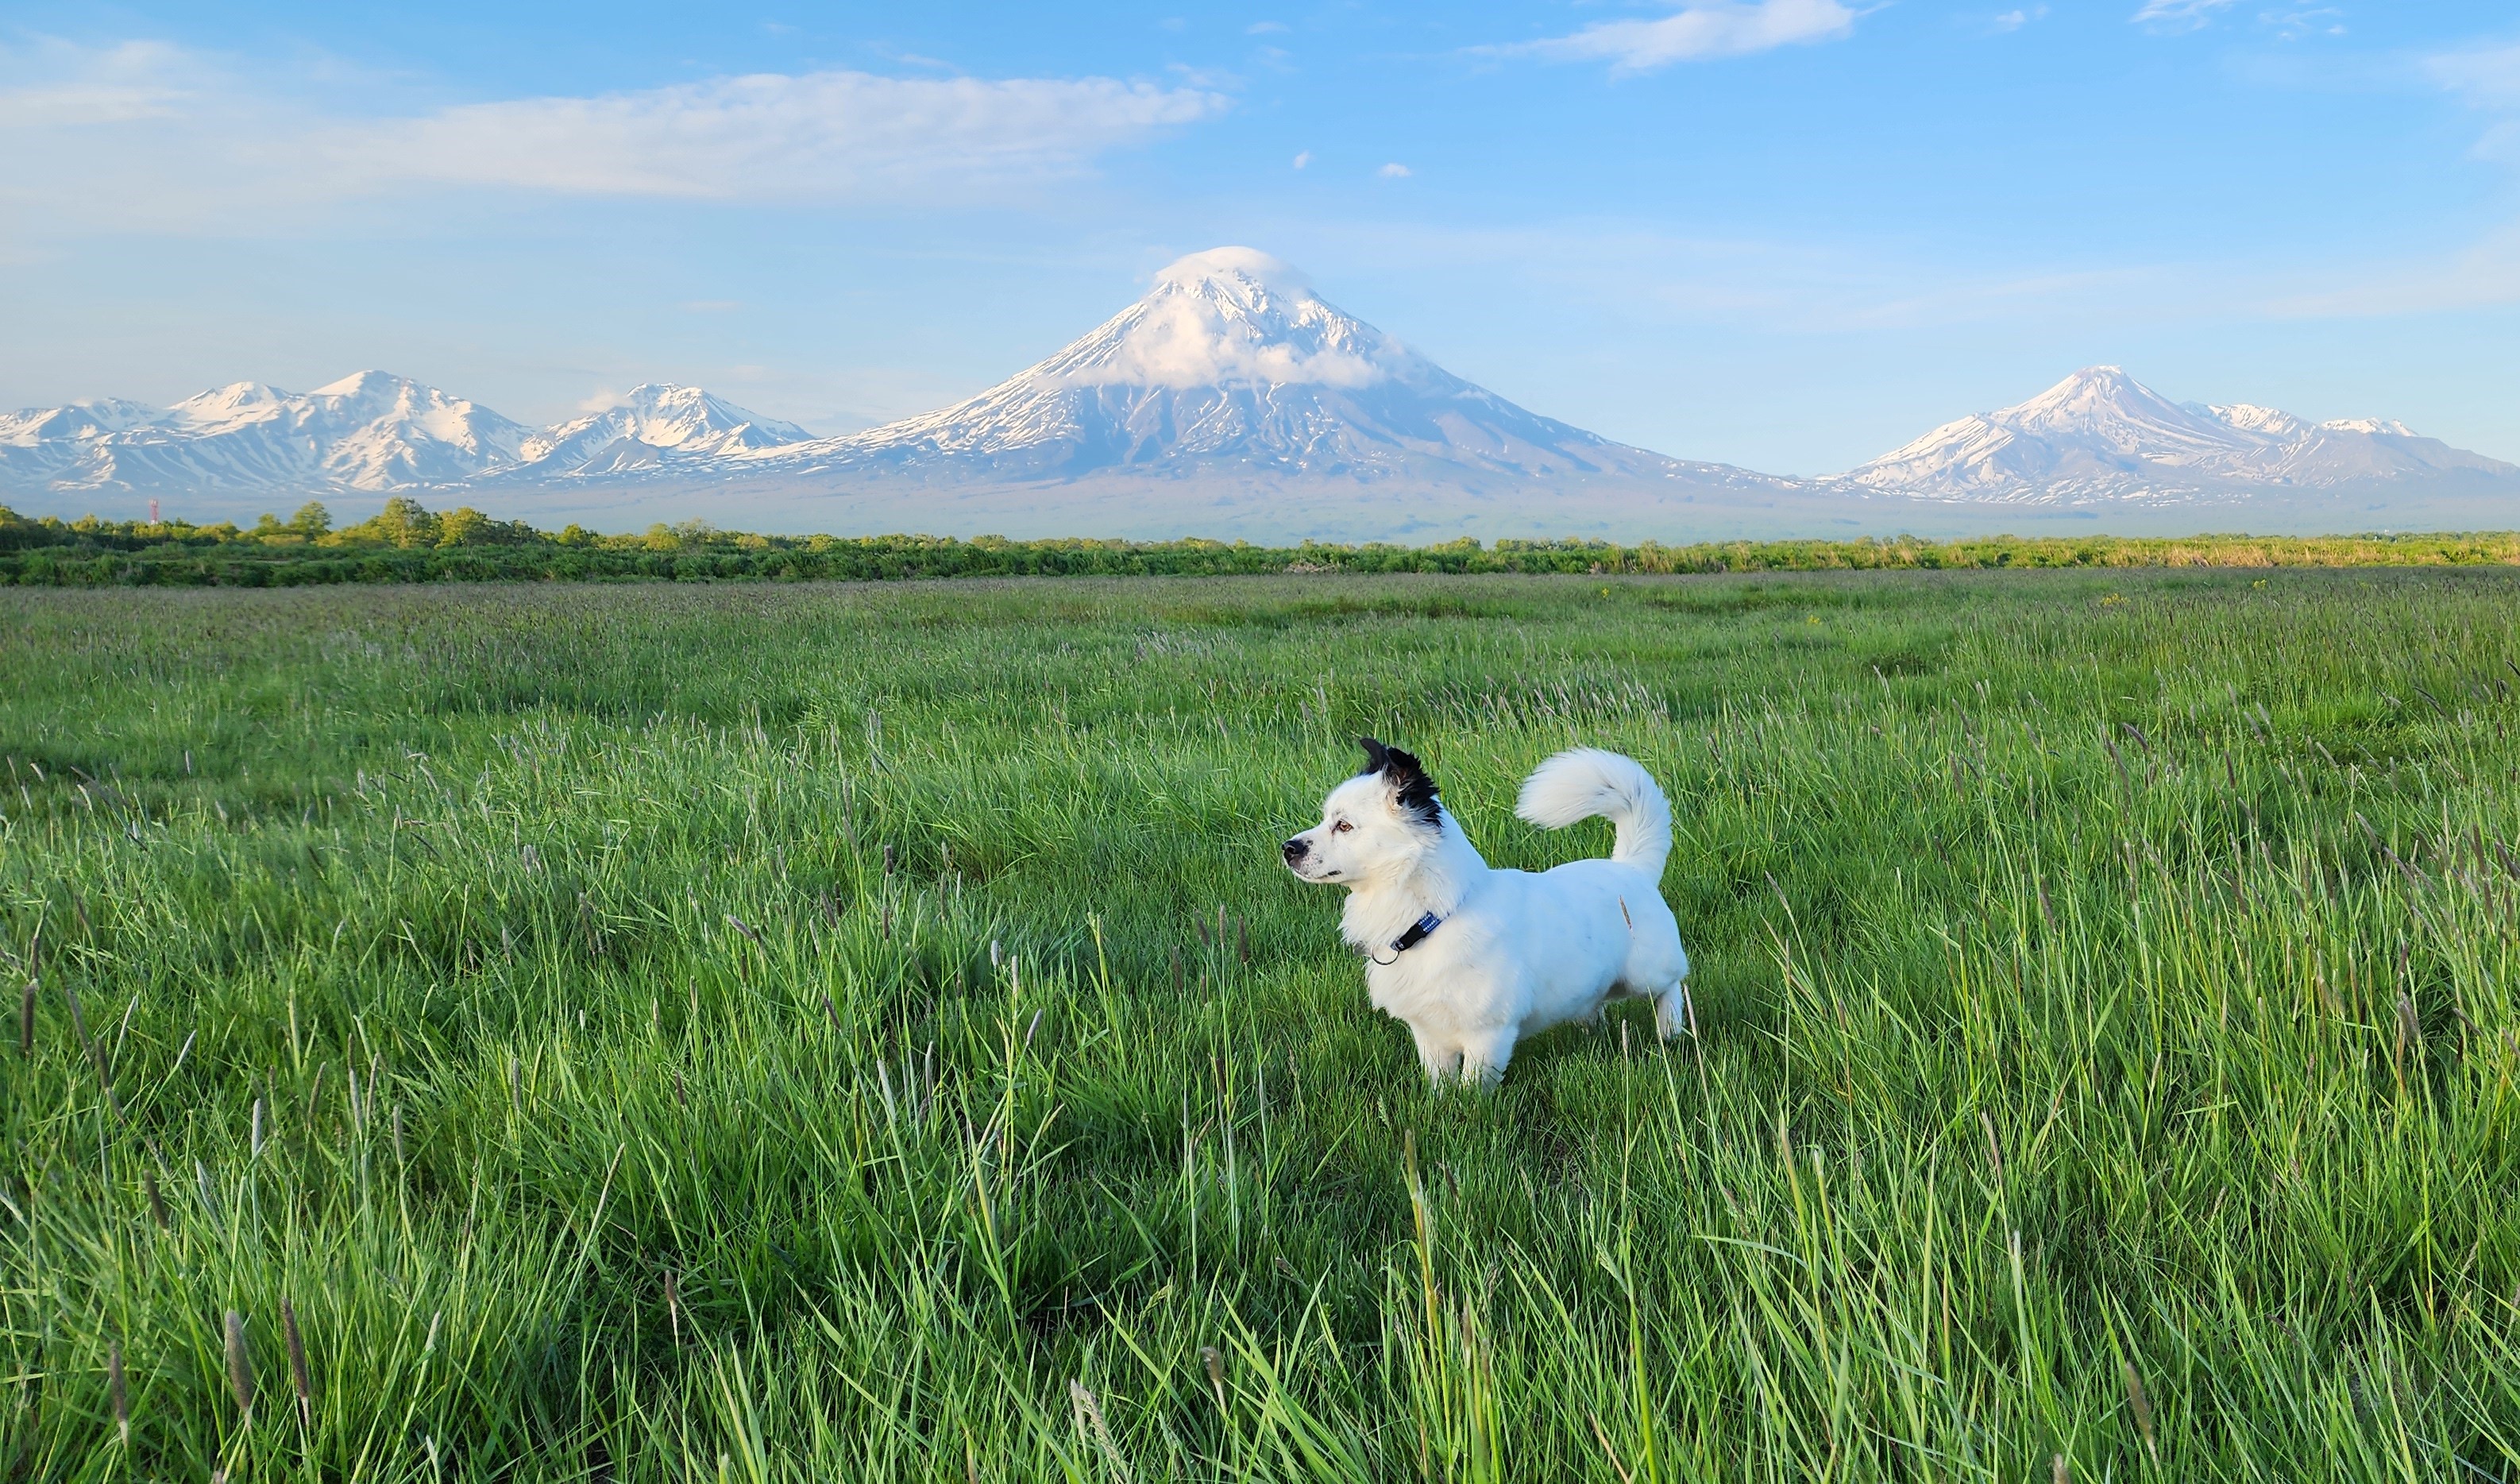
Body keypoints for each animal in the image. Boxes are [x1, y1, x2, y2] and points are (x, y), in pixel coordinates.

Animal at [1290, 736, 1683, 1083]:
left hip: (1645, 974)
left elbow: (1472, 1089)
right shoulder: (1429, 1036)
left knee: (1673, 984)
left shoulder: (1488, 1036)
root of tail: (1631, 868)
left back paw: (1672, 1030)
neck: (1434, 920)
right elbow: (1440, 1085)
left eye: (1344, 826)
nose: (1288, 848)